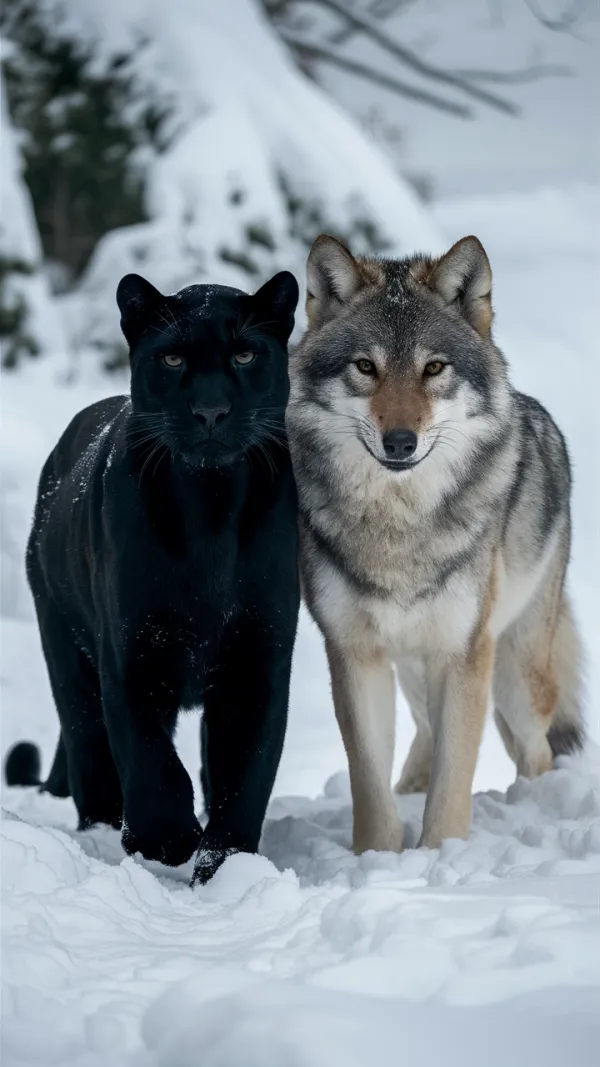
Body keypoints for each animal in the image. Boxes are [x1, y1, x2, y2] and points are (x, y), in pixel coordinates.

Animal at [287, 233, 584, 853]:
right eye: (366, 366)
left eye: (434, 368)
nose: (400, 441)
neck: (400, 528)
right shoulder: (355, 655)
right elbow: (368, 783)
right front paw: (379, 858)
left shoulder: (464, 653)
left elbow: (456, 778)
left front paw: (441, 854)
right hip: (415, 669)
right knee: (425, 730)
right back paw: (411, 786)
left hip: (514, 674)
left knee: (537, 751)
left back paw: (529, 806)